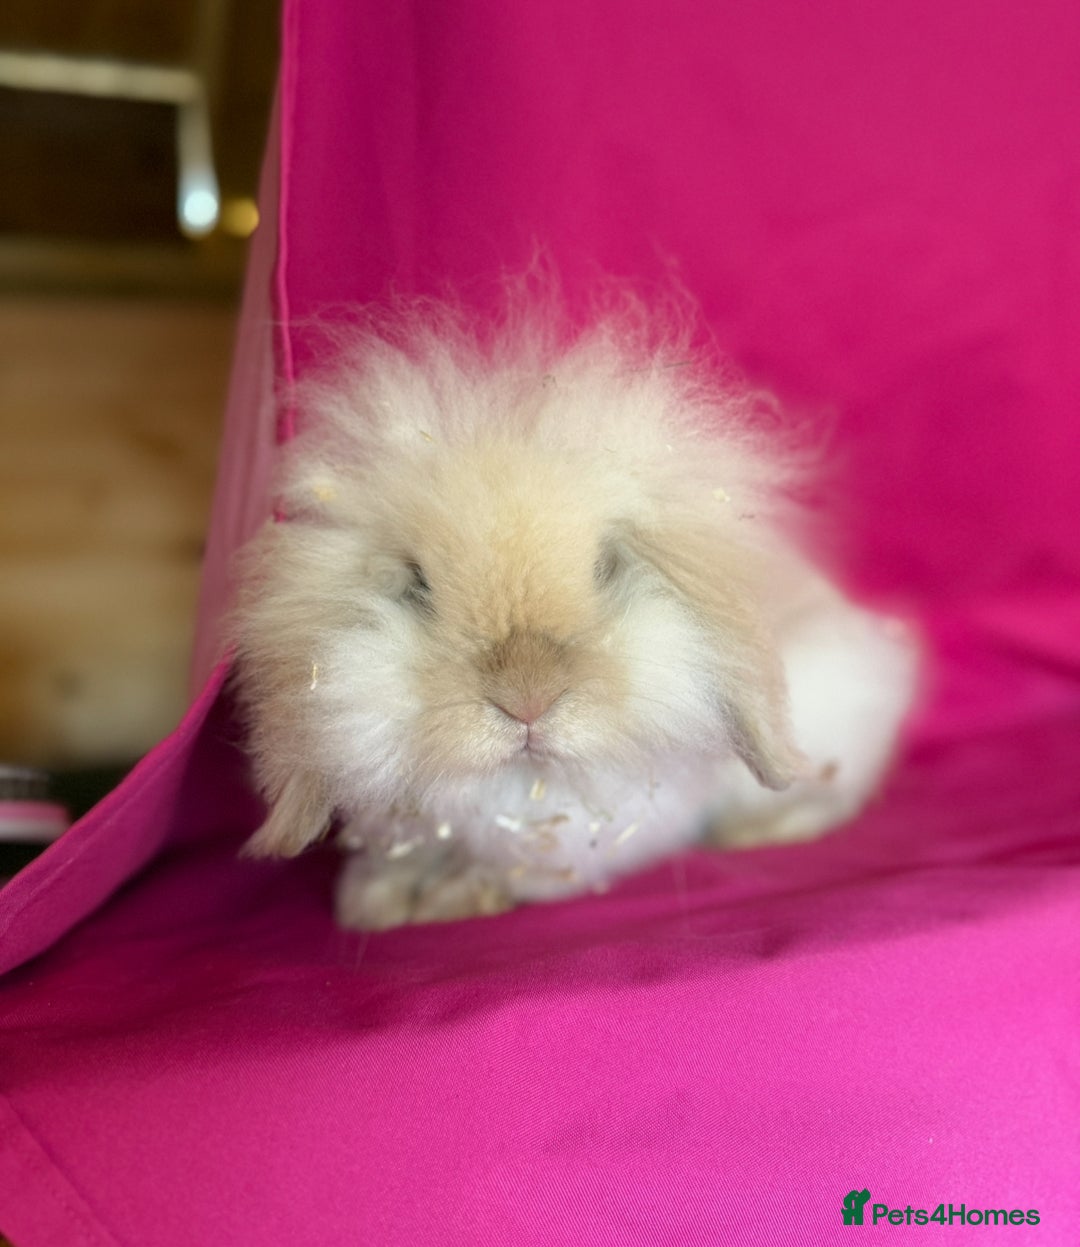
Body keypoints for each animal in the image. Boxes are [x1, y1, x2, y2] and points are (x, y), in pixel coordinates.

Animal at [232, 295, 917, 930]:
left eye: (605, 567)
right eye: (418, 585)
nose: (528, 700)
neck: (521, 786)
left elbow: (521, 874)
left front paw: (453, 899)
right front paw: (374, 906)